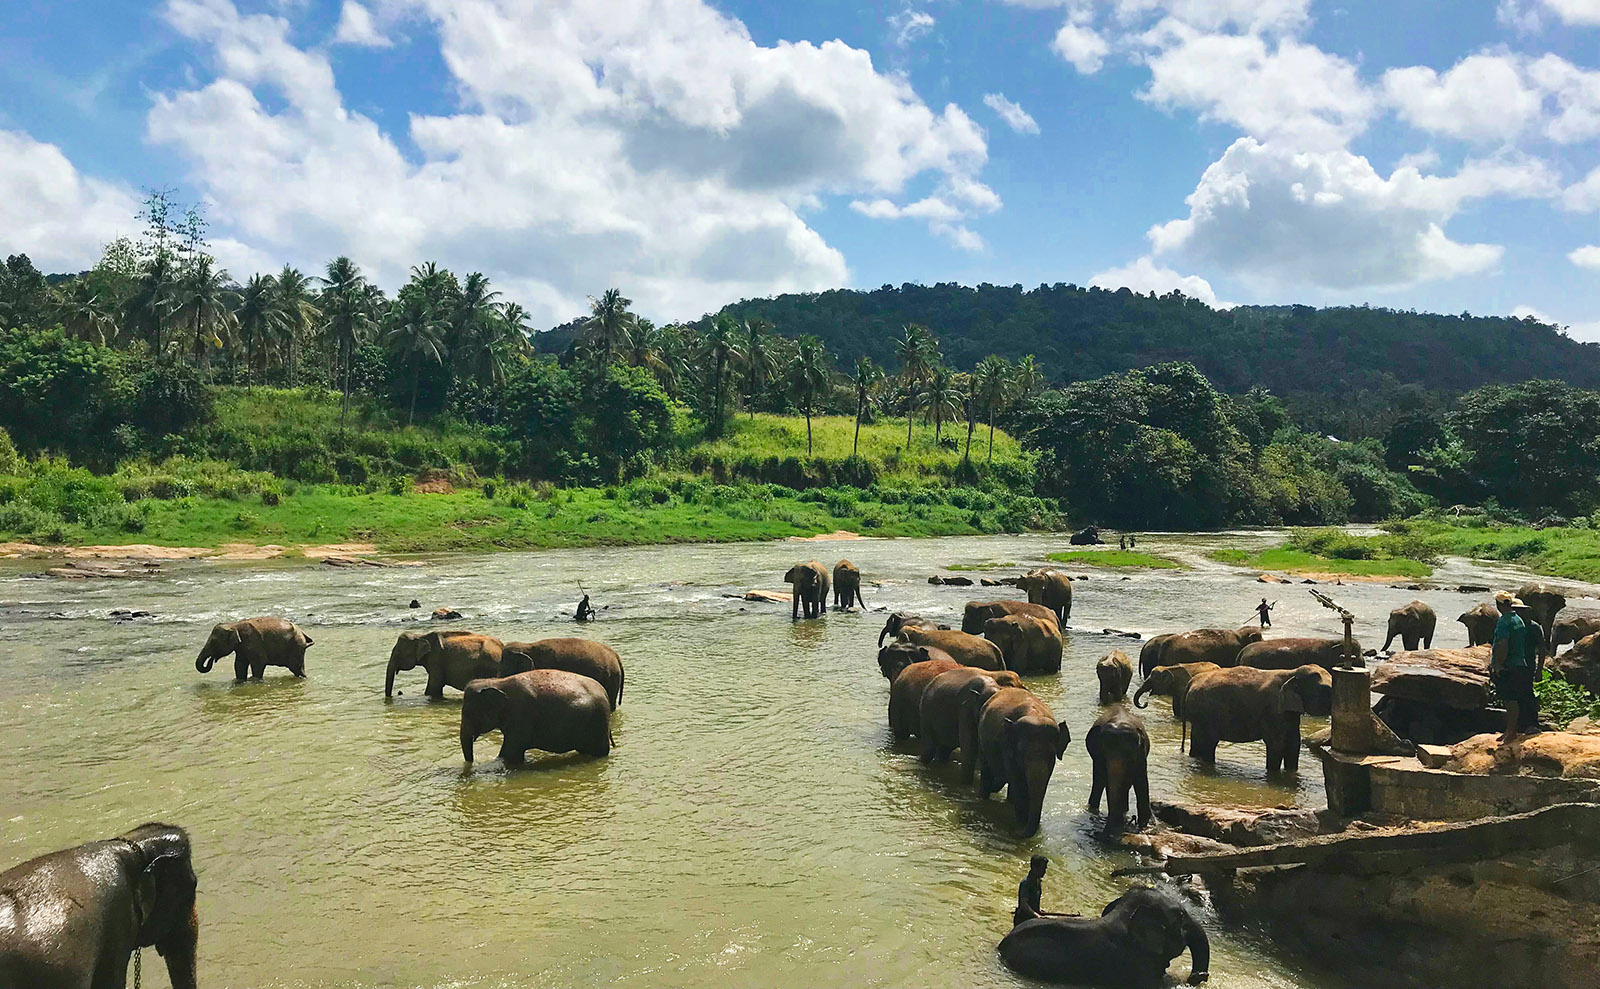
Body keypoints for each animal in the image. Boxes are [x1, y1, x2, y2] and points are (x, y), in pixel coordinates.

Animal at [386, 630, 531, 698]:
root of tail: (502, 647)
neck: (421, 635)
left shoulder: (436, 659)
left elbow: (434, 686)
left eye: (398, 652)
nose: (398, 693)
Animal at [460, 669, 613, 765]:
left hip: (598, 721)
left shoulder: (521, 715)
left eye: (468, 713)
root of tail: (605, 692)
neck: (496, 682)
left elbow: (510, 754)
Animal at [976, 687, 1072, 836]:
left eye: (1051, 754)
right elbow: (1019, 783)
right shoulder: (1007, 749)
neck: (1035, 714)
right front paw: (1021, 824)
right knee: (987, 771)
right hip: (981, 740)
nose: (1013, 831)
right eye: (1021, 753)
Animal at [1086, 703, 1152, 833]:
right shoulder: (1099, 756)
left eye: (1129, 754)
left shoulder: (1141, 754)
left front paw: (1145, 826)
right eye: (1104, 752)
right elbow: (1108, 781)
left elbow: (1141, 781)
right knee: (1099, 782)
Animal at [1183, 665, 1333, 773]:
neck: (1292, 672)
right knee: (1209, 743)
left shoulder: (1289, 713)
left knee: (1197, 740)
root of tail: (1192, 681)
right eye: (1327, 689)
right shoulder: (1273, 709)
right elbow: (1276, 744)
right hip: (1205, 712)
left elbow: (1293, 743)